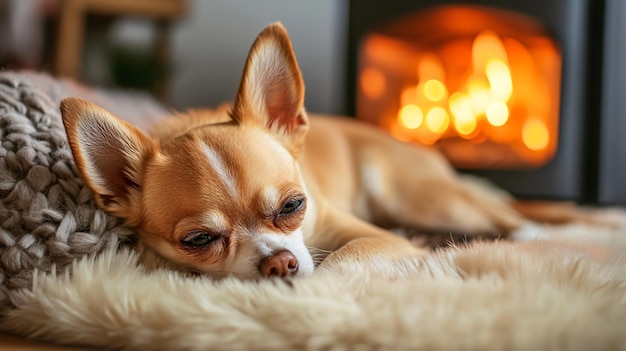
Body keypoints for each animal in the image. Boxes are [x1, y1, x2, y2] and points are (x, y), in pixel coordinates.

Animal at [61, 22, 616, 280]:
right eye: (198, 240)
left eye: (293, 206)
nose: (280, 264)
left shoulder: (371, 239)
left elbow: (340, 261)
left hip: (424, 199)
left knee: (508, 217)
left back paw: (536, 234)